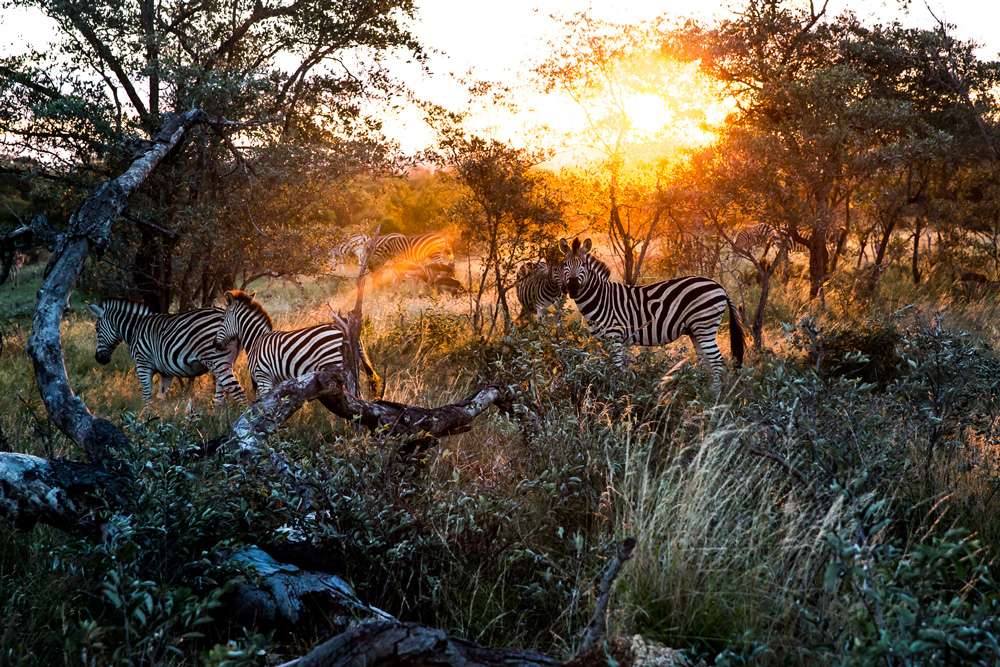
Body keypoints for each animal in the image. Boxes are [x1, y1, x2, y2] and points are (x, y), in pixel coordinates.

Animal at [89, 300, 247, 404]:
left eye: (96, 328)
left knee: (238, 393)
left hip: (217, 361)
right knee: (221, 395)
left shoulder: (143, 364)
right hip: (224, 363)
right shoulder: (166, 372)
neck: (136, 328)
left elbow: (146, 396)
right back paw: (217, 420)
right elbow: (162, 398)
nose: (99, 359)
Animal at [213, 290, 380, 396]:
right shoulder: (274, 381)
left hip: (336, 365)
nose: (215, 344)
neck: (256, 339)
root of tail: (346, 329)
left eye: (222, 320)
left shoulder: (263, 378)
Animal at [560, 239, 748, 384]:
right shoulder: (608, 341)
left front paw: (614, 396)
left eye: (584, 265)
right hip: (695, 330)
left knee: (716, 361)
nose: (573, 289)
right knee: (705, 362)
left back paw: (715, 398)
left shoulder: (615, 337)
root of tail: (720, 287)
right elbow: (614, 369)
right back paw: (702, 395)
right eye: (564, 265)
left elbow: (615, 369)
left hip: (704, 325)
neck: (602, 298)